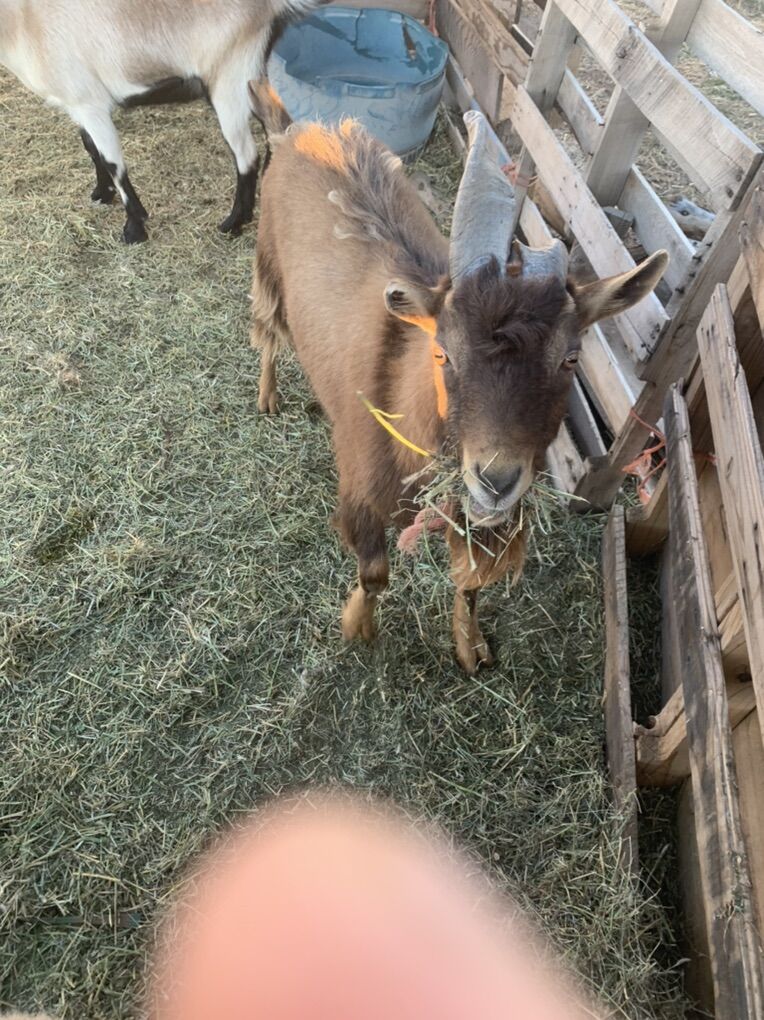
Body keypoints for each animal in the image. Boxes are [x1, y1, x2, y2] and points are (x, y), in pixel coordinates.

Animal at [0, 0, 326, 243]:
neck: (25, 20)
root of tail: (269, 7)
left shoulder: (89, 102)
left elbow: (113, 162)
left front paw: (134, 229)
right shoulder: (78, 106)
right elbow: (91, 148)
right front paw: (102, 195)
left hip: (229, 79)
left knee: (246, 155)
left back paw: (232, 224)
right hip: (253, 76)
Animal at [249, 84, 668, 673]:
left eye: (570, 358)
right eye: (444, 353)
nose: (496, 480)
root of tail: (296, 128)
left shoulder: (473, 518)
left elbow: (470, 586)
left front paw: (471, 649)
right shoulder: (361, 491)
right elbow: (374, 573)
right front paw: (357, 628)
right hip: (266, 260)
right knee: (266, 328)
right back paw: (267, 396)